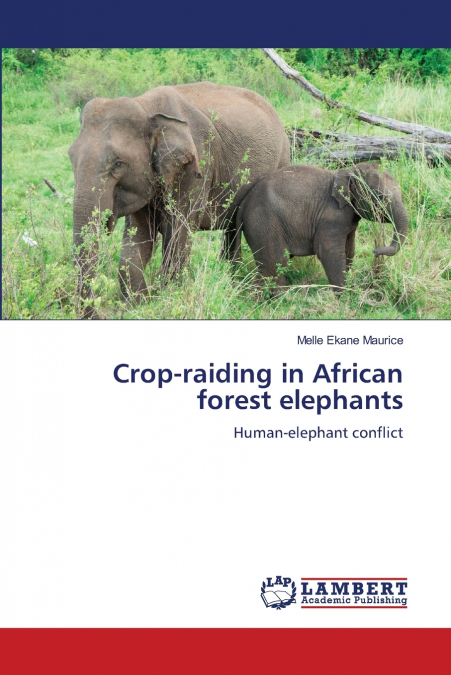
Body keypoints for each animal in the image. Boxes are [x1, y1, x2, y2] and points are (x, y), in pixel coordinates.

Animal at [68, 82, 290, 316]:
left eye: (118, 164)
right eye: (70, 157)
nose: (96, 314)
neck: (146, 108)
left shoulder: (196, 164)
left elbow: (177, 231)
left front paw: (167, 298)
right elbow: (138, 234)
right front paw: (136, 305)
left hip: (282, 158)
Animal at [234, 162, 409, 293]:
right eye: (379, 197)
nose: (375, 251)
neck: (348, 171)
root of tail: (244, 203)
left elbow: (349, 251)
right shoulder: (331, 216)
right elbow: (328, 251)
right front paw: (344, 297)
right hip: (263, 223)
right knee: (276, 262)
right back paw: (281, 299)